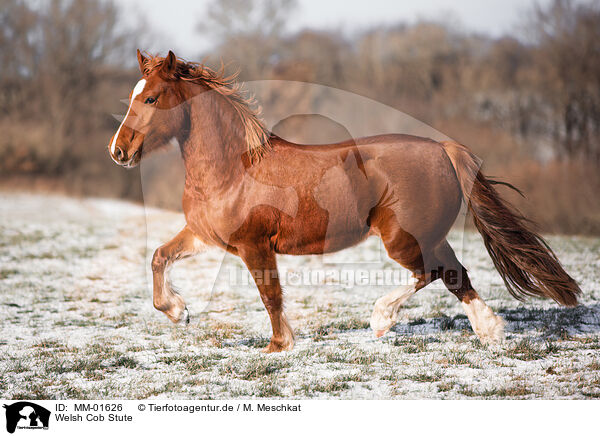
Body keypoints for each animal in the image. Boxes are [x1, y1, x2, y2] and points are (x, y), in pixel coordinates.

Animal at [109, 51, 580, 350]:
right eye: (131, 95)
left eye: (151, 97)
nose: (119, 151)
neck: (233, 168)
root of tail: (443, 148)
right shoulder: (206, 235)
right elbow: (159, 256)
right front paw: (179, 312)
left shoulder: (254, 245)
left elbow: (270, 295)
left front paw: (279, 346)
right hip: (426, 236)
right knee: (455, 274)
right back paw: (491, 333)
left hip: (402, 239)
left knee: (433, 272)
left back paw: (382, 320)